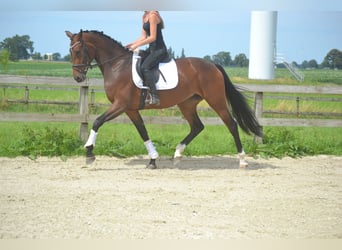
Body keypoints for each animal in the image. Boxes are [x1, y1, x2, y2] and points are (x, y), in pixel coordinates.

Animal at [65, 30, 262, 169]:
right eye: (70, 51)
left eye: (78, 50)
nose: (78, 78)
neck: (117, 65)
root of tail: (213, 64)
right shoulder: (130, 109)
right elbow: (142, 131)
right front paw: (153, 160)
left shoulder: (120, 105)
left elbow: (98, 121)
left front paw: (89, 152)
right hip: (187, 103)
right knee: (197, 126)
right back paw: (177, 155)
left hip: (216, 101)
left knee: (232, 125)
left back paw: (242, 160)